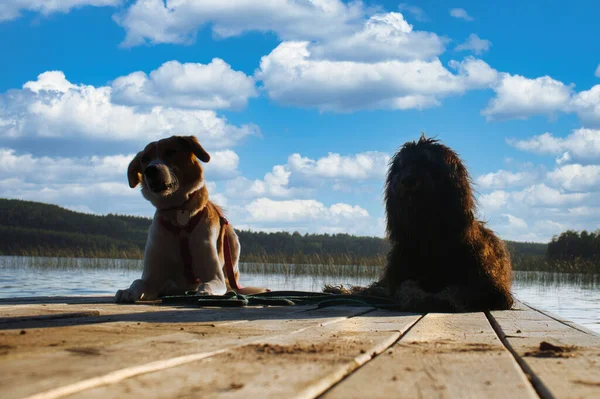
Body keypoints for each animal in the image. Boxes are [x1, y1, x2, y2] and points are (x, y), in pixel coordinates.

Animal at [116, 136, 266, 304]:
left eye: (170, 151)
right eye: (144, 159)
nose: (150, 170)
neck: (177, 213)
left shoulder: (215, 277)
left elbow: (207, 284)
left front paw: (205, 292)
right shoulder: (152, 278)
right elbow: (138, 282)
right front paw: (127, 291)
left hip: (232, 243)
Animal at [326, 136, 512, 314]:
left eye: (427, 162)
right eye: (401, 165)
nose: (407, 181)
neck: (427, 235)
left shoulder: (492, 289)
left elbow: (457, 288)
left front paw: (440, 299)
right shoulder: (398, 276)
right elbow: (405, 286)